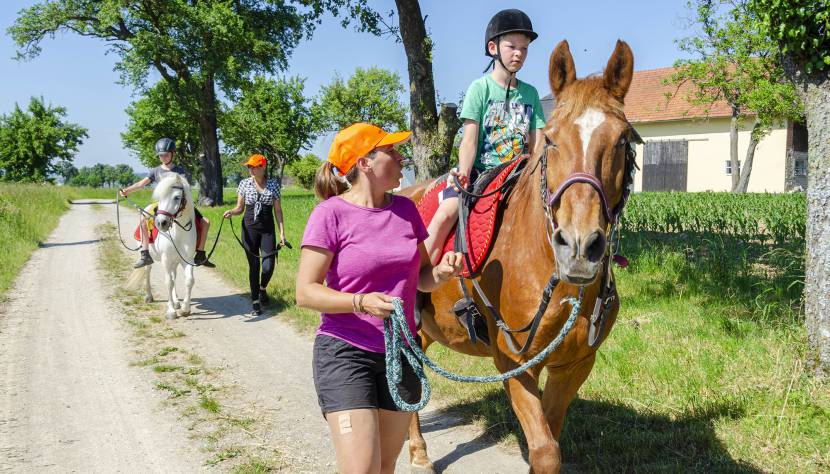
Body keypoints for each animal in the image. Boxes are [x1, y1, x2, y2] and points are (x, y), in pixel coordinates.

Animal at [127, 173, 197, 318]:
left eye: (177, 197)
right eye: (160, 198)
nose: (161, 223)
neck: (177, 232)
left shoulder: (187, 259)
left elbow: (189, 280)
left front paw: (185, 308)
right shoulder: (166, 259)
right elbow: (168, 282)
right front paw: (171, 311)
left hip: (174, 261)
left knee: (174, 276)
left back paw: (176, 302)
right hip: (151, 259)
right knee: (148, 271)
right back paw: (149, 296)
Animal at [404, 39, 636, 472]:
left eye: (622, 140)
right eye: (552, 139)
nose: (579, 247)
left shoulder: (574, 365)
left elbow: (550, 439)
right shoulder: (514, 365)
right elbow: (545, 451)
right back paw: (419, 453)